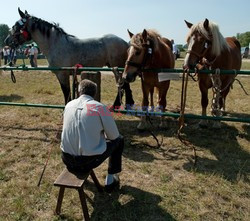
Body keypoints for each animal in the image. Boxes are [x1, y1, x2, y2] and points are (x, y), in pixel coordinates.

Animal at [4, 7, 134, 106]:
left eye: (16, 25)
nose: (7, 41)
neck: (55, 44)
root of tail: (126, 42)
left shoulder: (63, 74)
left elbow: (66, 93)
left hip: (117, 68)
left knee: (123, 86)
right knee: (123, 86)